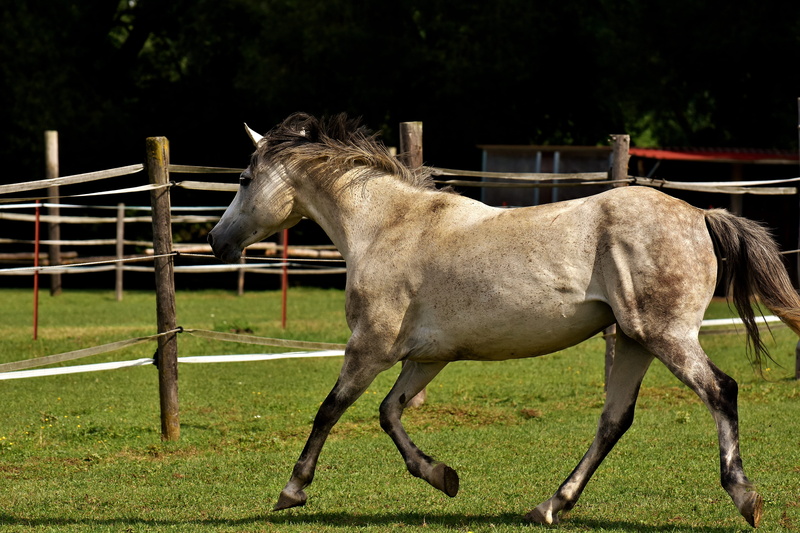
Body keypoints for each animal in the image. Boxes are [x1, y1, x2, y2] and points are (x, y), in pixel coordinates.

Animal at [208, 112, 800, 528]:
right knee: (614, 420)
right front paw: (442, 477)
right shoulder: (427, 358)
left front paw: (292, 491)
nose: (216, 241)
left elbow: (330, 411)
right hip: (635, 340)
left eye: (243, 178)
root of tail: (701, 214)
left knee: (721, 391)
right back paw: (550, 505)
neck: (386, 227)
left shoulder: (369, 348)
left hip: (666, 336)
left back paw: (745, 496)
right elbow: (389, 413)